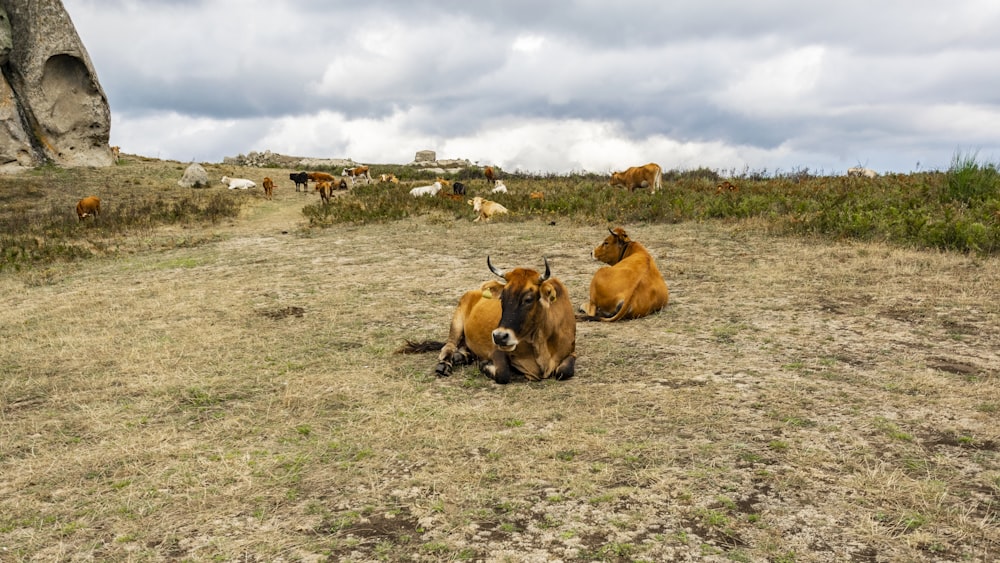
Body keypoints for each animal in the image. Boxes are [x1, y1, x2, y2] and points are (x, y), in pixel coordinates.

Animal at [394, 258, 576, 384]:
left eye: (528, 299)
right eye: (502, 297)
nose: (500, 336)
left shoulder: (571, 352)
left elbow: (564, 371)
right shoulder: (496, 350)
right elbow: (503, 373)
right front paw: (484, 365)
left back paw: (461, 357)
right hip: (457, 323)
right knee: (448, 346)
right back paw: (446, 364)